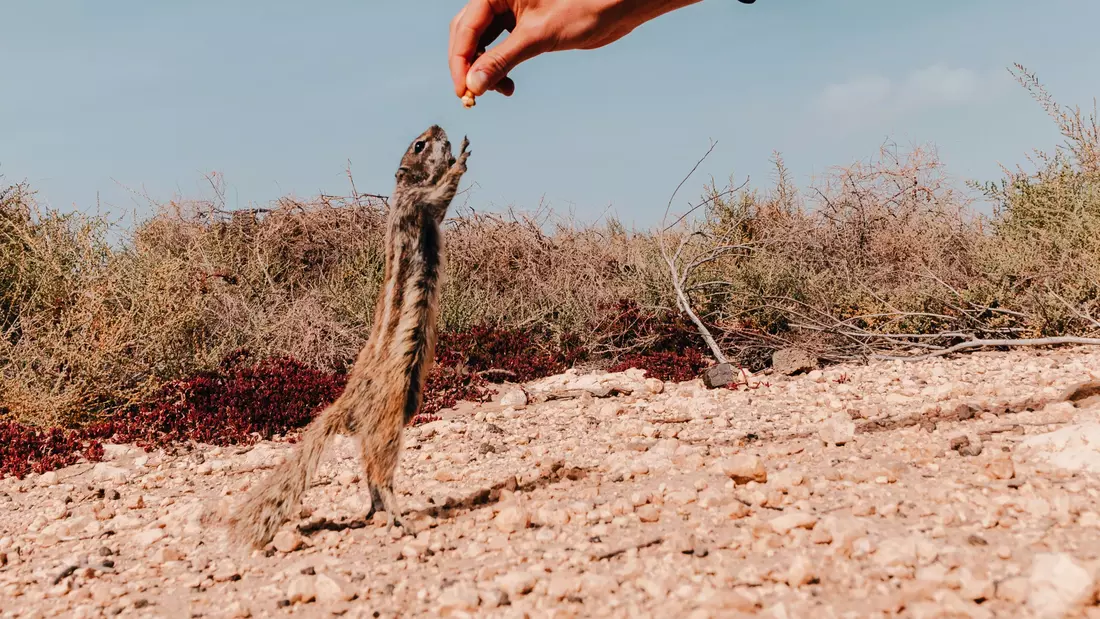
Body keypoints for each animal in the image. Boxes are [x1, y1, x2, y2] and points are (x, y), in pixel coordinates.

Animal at [227, 124, 468, 547]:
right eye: (419, 144)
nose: (439, 127)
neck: (401, 191)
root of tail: (347, 402)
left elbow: (442, 206)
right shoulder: (418, 203)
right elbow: (443, 194)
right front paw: (462, 158)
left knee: (369, 472)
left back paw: (377, 511)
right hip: (387, 421)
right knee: (380, 472)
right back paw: (398, 517)